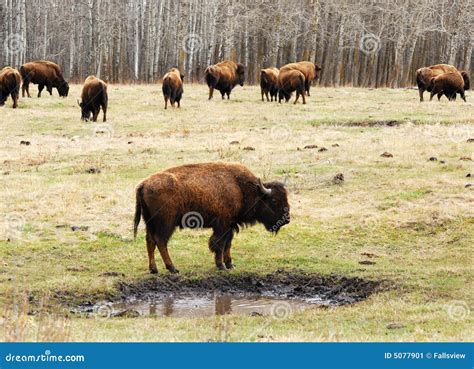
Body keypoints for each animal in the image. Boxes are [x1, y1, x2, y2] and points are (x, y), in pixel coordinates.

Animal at [132, 162, 288, 272]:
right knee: (161, 241)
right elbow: (219, 244)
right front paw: (221, 266)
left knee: (150, 241)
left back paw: (154, 269)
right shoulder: (222, 226)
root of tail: (144, 184)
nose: (286, 219)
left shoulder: (230, 226)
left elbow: (228, 244)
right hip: (166, 223)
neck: (240, 187)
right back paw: (172, 268)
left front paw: (230, 264)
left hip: (150, 223)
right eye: (274, 201)